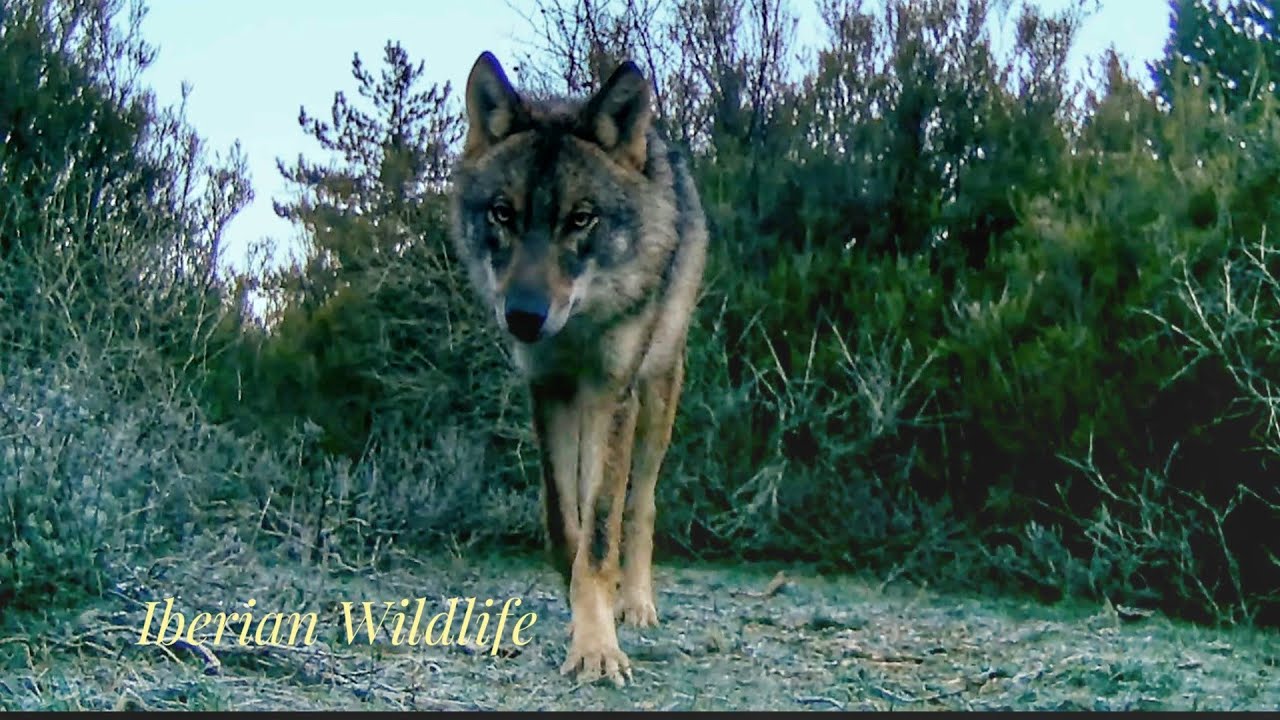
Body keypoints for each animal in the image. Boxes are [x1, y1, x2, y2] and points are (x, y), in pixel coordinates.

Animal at [448, 51, 708, 687]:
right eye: (503, 213)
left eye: (581, 219)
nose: (523, 316)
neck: (579, 326)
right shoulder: (550, 390)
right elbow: (566, 524)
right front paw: (581, 620)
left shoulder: (611, 392)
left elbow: (600, 530)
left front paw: (599, 645)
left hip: (656, 395)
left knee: (639, 505)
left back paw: (635, 603)